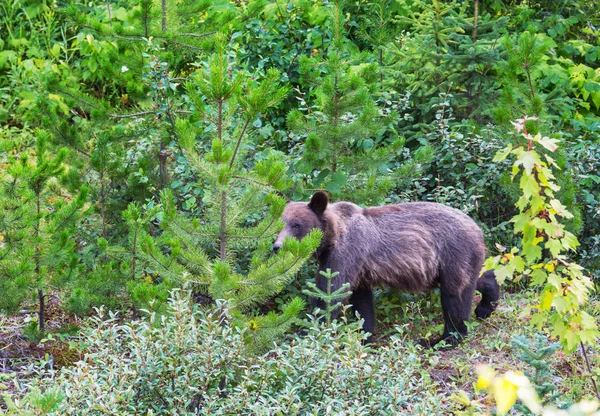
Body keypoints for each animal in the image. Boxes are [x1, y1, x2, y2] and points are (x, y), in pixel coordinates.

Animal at [274, 192, 500, 348]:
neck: (330, 239)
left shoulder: (346, 253)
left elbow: (330, 294)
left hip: (453, 252)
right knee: (475, 278)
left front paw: (303, 336)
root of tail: (477, 228)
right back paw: (486, 304)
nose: (277, 246)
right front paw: (364, 336)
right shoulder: (358, 270)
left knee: (455, 297)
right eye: (280, 223)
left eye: (297, 225)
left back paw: (441, 340)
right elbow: (361, 303)